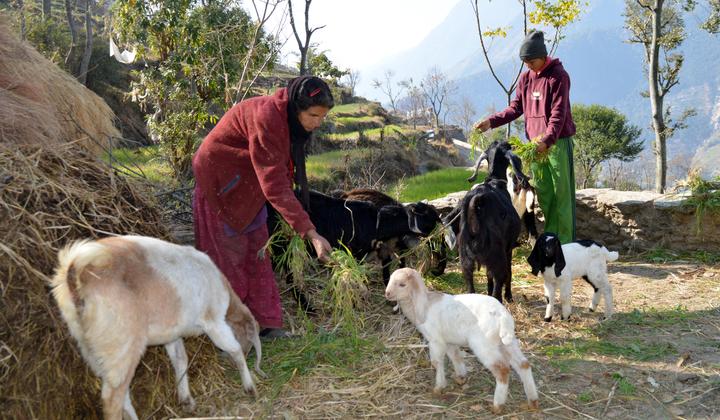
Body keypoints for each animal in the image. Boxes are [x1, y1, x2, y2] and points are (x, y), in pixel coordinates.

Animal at [50, 236, 264, 420]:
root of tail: (75, 272)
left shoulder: (172, 333)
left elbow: (180, 360)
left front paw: (186, 400)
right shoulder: (214, 322)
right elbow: (235, 349)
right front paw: (250, 387)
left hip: (92, 347)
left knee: (121, 394)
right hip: (121, 344)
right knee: (112, 398)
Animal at [386, 270, 536, 414]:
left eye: (402, 284)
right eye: (390, 280)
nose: (387, 294)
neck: (425, 305)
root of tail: (502, 315)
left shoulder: (435, 340)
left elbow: (436, 362)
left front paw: (439, 387)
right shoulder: (449, 341)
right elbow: (455, 356)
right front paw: (461, 377)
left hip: (484, 344)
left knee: (502, 369)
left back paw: (498, 406)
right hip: (507, 342)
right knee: (523, 364)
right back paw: (532, 401)